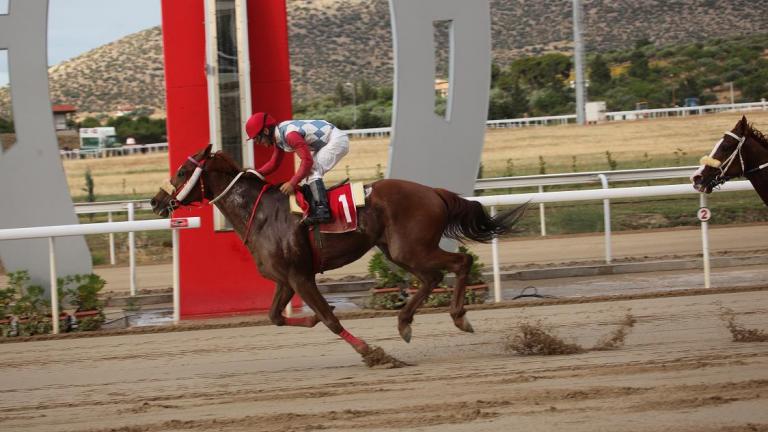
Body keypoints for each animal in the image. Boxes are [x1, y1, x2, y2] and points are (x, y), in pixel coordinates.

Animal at [148, 145, 528, 358]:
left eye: (182, 171)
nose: (155, 201)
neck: (262, 214)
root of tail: (433, 191)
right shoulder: (284, 280)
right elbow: (274, 317)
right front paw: (312, 318)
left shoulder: (301, 276)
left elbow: (331, 321)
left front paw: (370, 352)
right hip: (397, 251)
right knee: (433, 276)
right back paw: (405, 322)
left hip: (411, 247)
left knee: (460, 262)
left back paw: (458, 316)